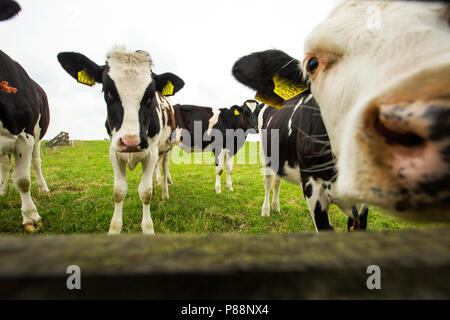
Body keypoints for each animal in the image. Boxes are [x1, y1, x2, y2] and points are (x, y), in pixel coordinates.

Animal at [57, 46, 184, 234]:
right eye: (107, 92)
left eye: (149, 96)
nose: (131, 141)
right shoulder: (114, 152)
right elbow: (119, 191)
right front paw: (114, 229)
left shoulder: (151, 152)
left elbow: (145, 192)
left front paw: (148, 228)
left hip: (166, 148)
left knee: (164, 166)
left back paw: (164, 192)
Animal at [232, 49, 370, 230]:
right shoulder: (313, 189)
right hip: (265, 154)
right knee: (268, 181)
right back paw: (266, 210)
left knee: (277, 181)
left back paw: (276, 207)